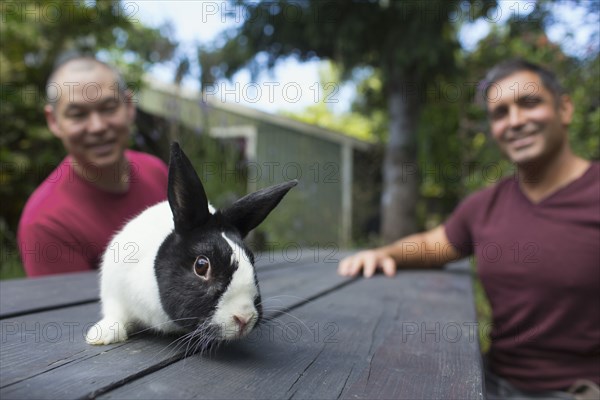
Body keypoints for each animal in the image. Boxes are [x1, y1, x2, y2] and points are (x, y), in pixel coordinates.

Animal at [85, 143, 298, 346]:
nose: (244, 318)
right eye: (201, 266)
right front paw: (101, 336)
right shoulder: (114, 288)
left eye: (252, 260)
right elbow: (115, 313)